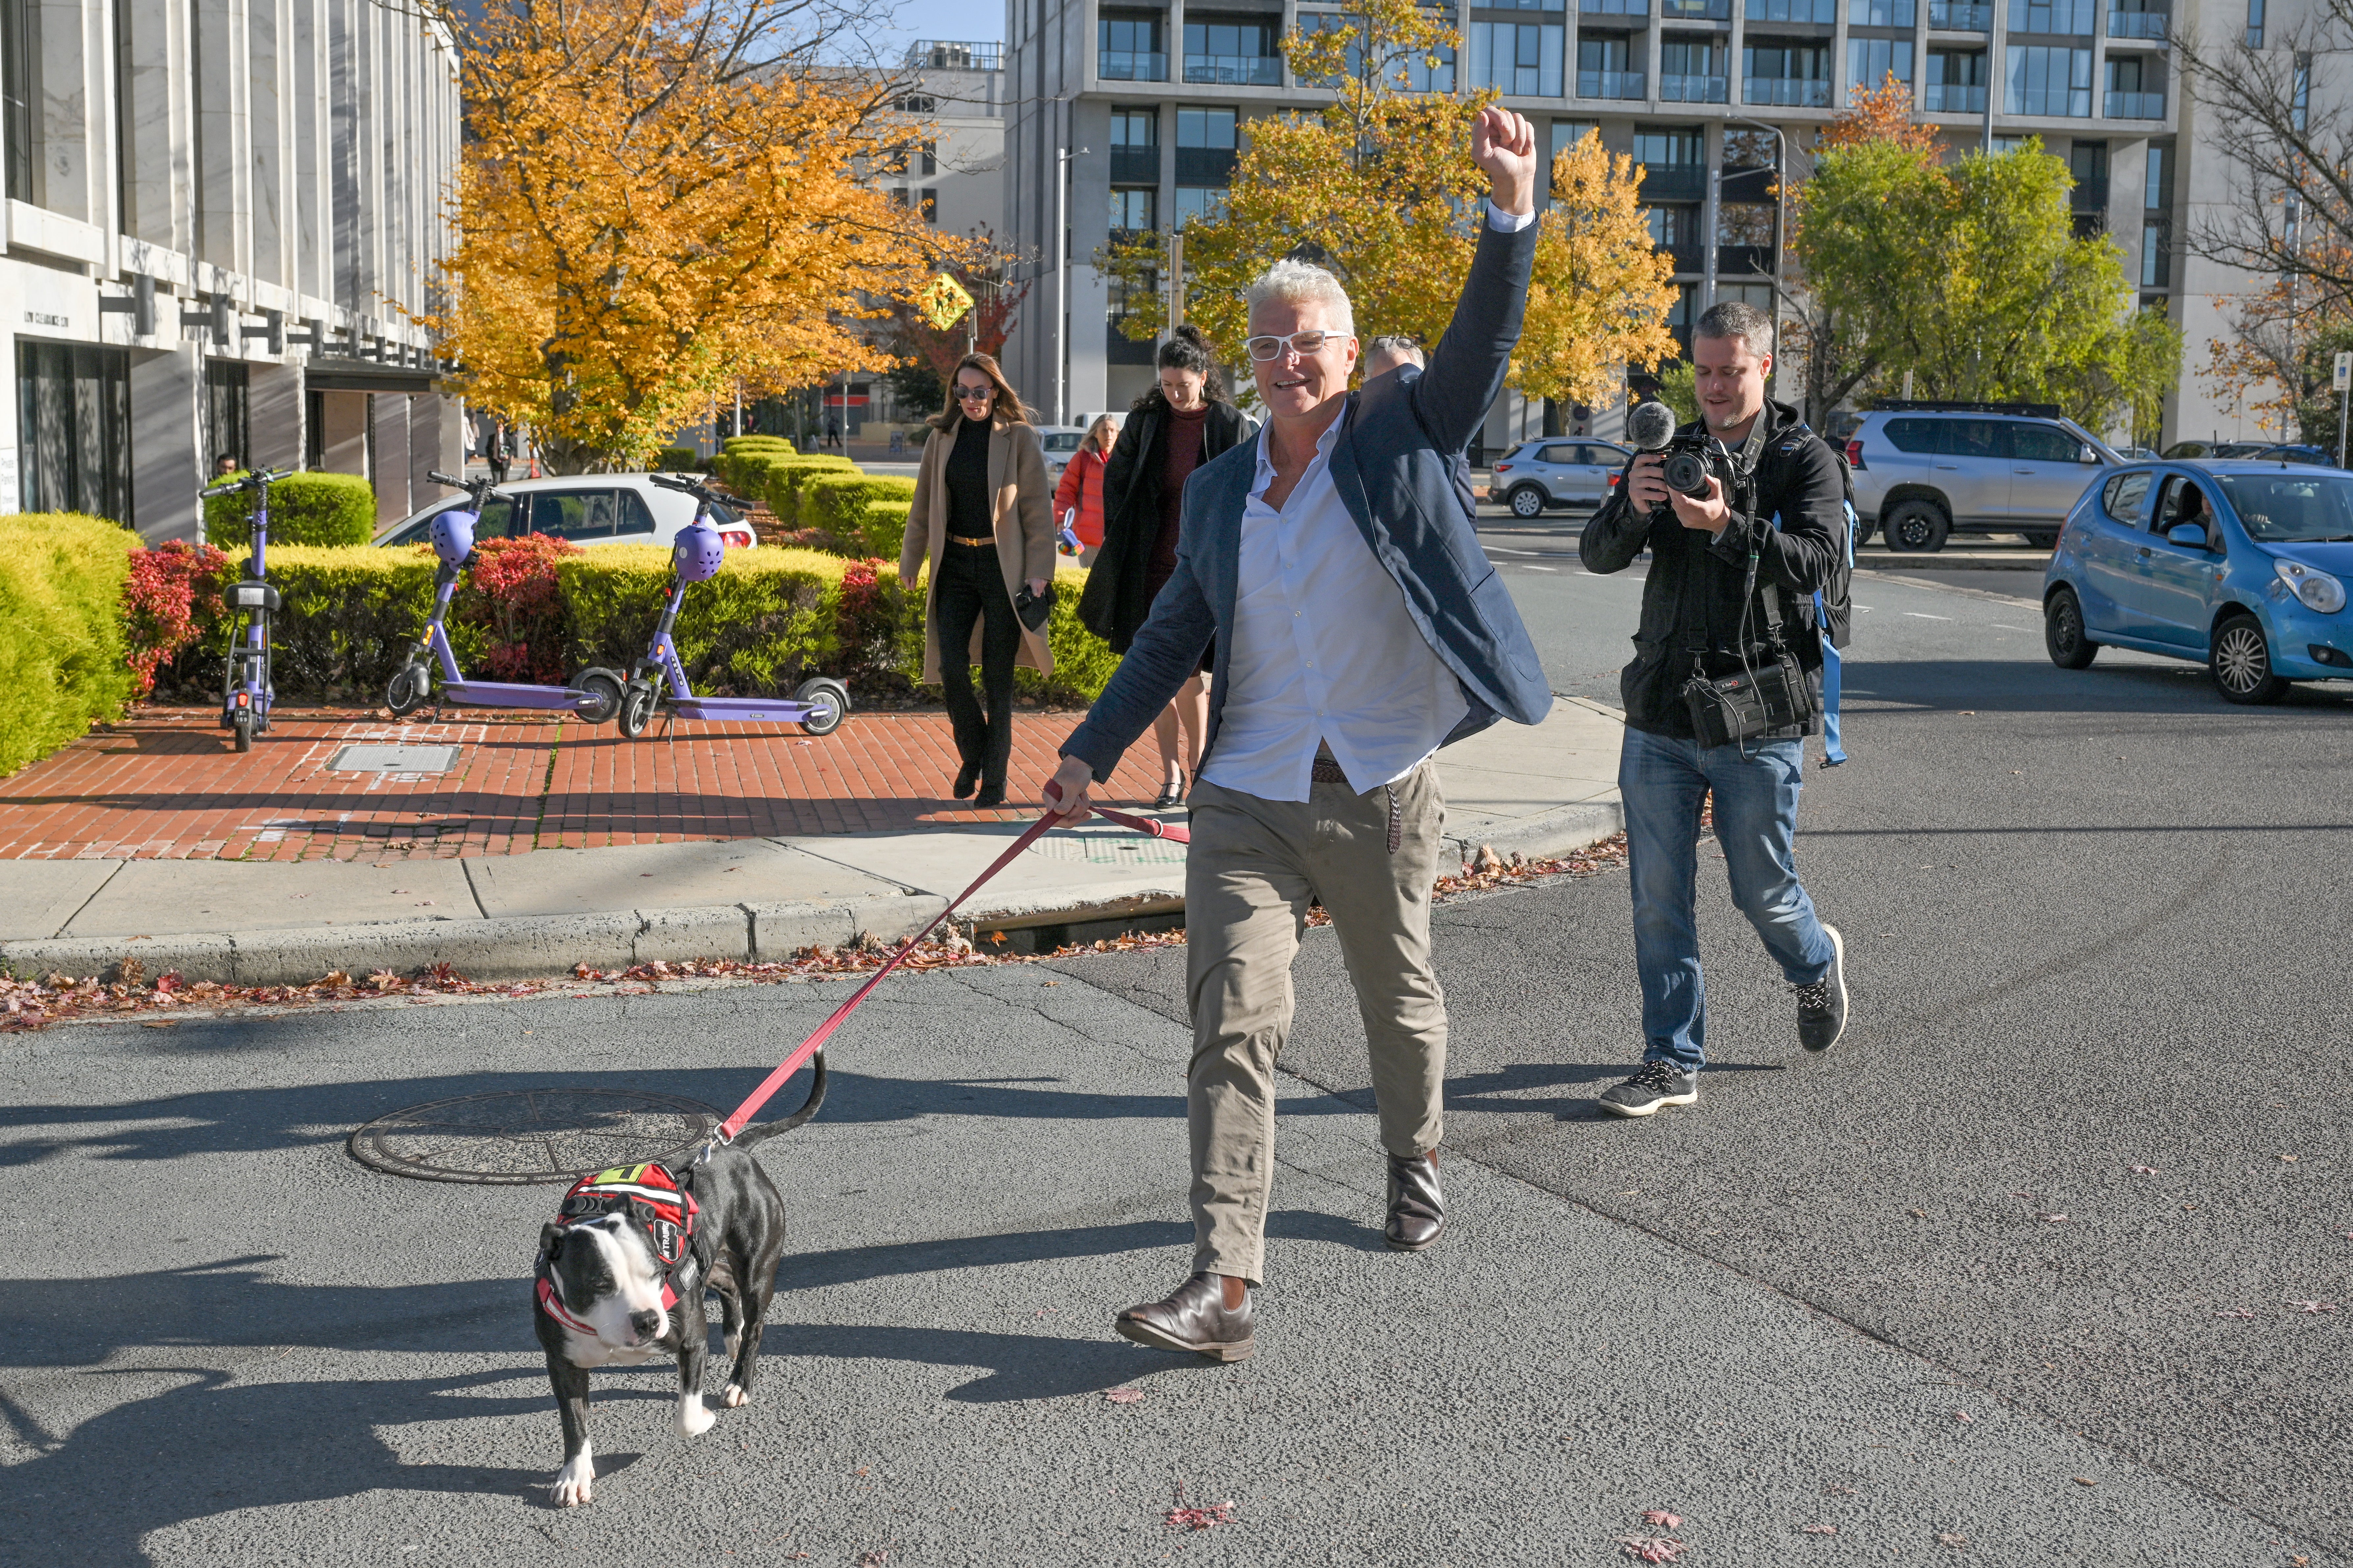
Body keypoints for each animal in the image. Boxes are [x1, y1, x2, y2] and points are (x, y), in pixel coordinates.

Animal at [534, 1053, 828, 1505]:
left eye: (657, 1272)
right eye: (599, 1284)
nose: (648, 1320)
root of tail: (733, 1150)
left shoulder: (691, 1340)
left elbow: (686, 1416)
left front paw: (704, 1416)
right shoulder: (563, 1363)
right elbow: (575, 1423)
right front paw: (574, 1475)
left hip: (757, 1267)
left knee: (756, 1319)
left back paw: (740, 1378)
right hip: (710, 1264)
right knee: (727, 1289)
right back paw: (733, 1336)